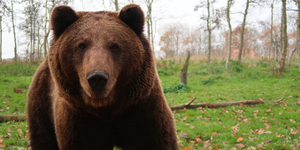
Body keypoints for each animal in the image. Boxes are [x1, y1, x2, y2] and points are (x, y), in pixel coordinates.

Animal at [26, 3, 178, 150]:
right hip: (42, 103)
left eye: (115, 46)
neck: (106, 109)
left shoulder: (141, 109)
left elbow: (157, 140)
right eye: (81, 45)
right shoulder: (79, 118)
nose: (97, 77)